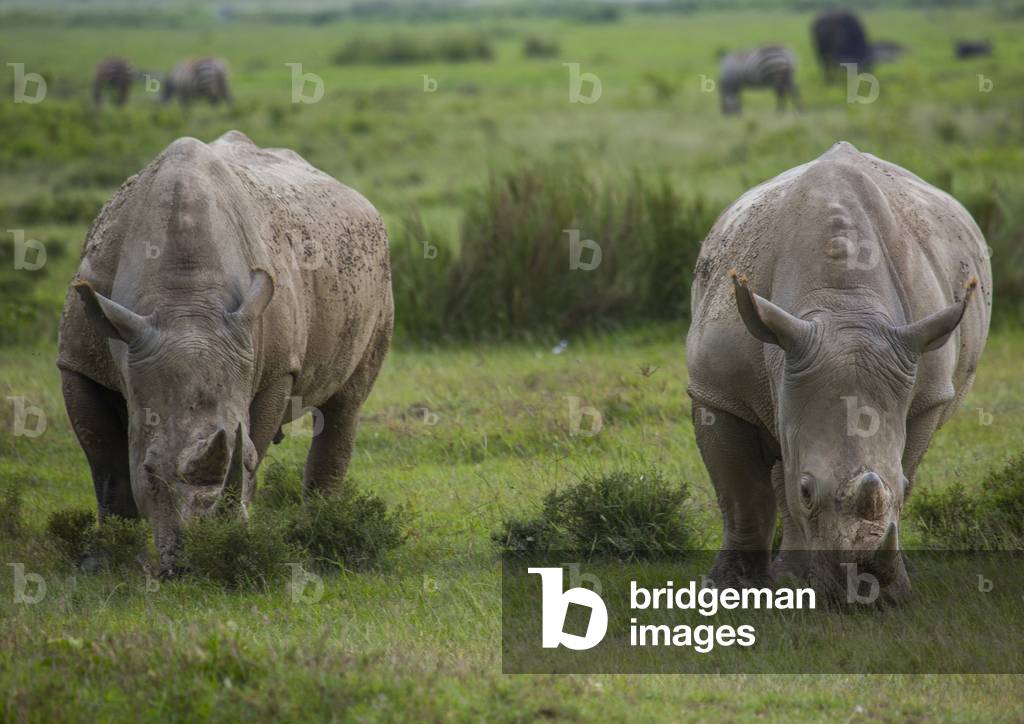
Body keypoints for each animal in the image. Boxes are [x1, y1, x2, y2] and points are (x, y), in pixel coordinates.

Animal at [58, 130, 393, 573]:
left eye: (246, 462)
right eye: (149, 470)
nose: (200, 562)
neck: (185, 302)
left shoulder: (276, 368)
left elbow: (258, 439)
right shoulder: (78, 361)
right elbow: (106, 464)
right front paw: (104, 563)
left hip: (377, 272)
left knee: (346, 403)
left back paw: (320, 535)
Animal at [686, 142, 991, 599]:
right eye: (807, 490)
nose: (865, 590)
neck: (844, 308)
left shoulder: (926, 389)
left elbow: (906, 467)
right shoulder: (717, 391)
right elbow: (743, 497)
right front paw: (729, 588)